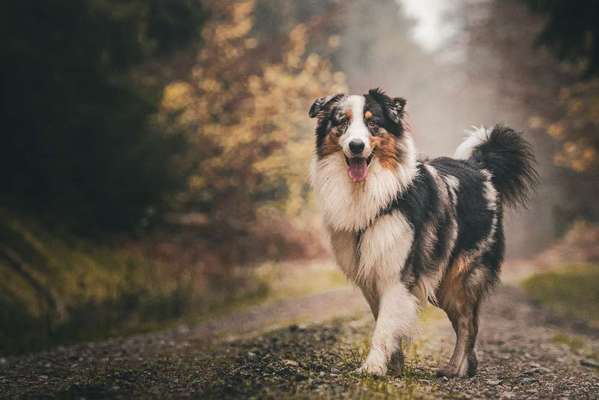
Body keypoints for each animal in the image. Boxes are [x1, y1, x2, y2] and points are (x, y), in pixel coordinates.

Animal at [310, 88, 540, 378]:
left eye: (373, 124)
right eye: (342, 122)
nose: (356, 146)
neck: (372, 191)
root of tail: (481, 169)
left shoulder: (398, 273)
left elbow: (384, 326)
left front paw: (373, 367)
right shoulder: (371, 276)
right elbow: (384, 321)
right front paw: (393, 366)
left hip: (460, 278)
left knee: (468, 324)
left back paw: (456, 369)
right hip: (440, 283)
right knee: (463, 322)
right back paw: (467, 366)